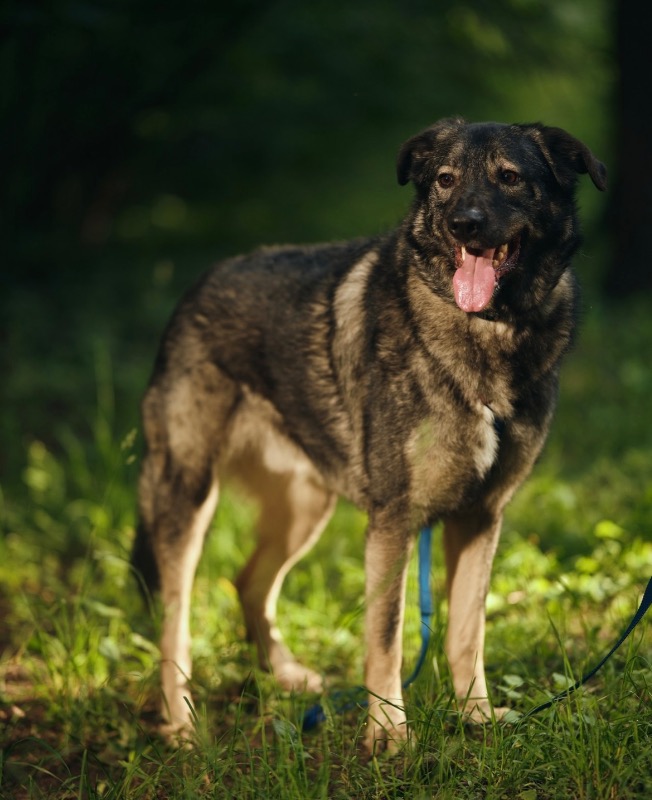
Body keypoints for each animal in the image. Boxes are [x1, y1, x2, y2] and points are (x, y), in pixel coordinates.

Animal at [132, 117, 606, 754]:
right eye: (444, 180)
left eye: (509, 177)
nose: (463, 224)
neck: (487, 331)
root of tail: (193, 290)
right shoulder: (395, 522)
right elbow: (387, 635)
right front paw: (387, 734)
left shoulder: (480, 517)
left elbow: (466, 633)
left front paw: (476, 717)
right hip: (189, 501)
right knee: (174, 623)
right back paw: (181, 723)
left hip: (305, 509)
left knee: (248, 582)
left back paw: (284, 674)